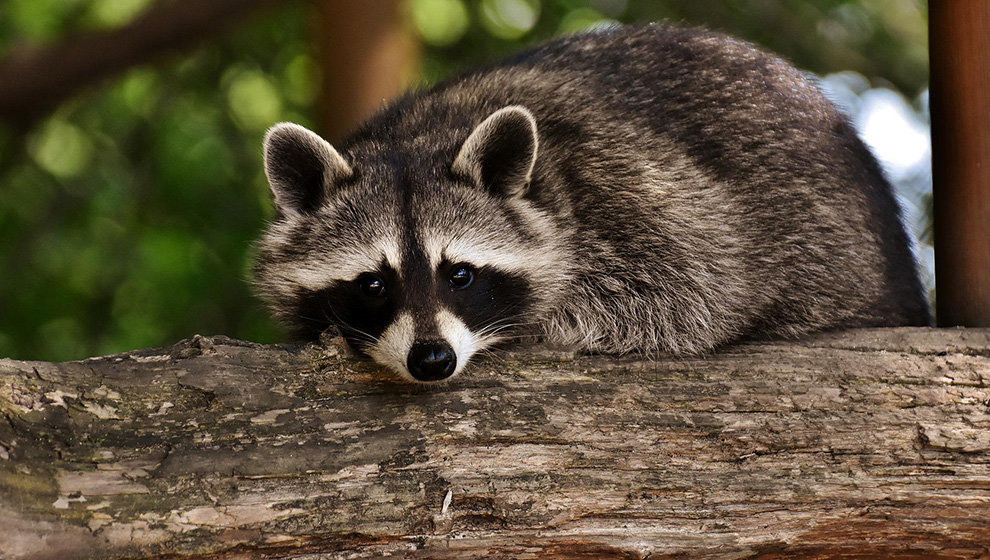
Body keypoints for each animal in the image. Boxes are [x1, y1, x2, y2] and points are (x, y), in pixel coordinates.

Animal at [252, 21, 932, 380]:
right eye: (373, 283)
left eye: (461, 275)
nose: (433, 360)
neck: (419, 137)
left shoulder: (636, 192)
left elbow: (693, 294)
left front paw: (534, 327)